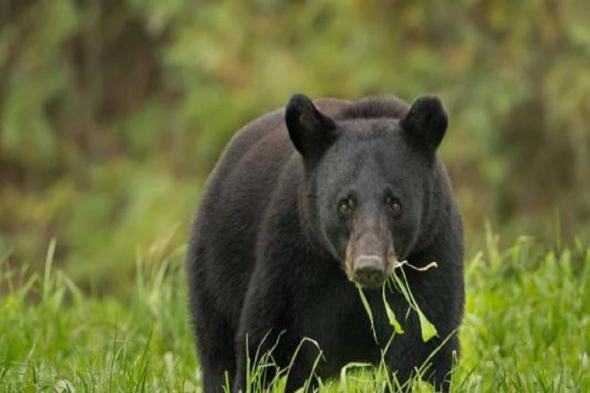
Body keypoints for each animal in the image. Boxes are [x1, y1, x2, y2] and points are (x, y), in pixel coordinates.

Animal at [187, 93, 464, 390]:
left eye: (394, 203)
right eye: (345, 204)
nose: (368, 267)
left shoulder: (431, 257)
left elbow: (423, 349)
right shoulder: (291, 262)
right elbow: (267, 346)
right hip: (214, 273)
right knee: (217, 355)